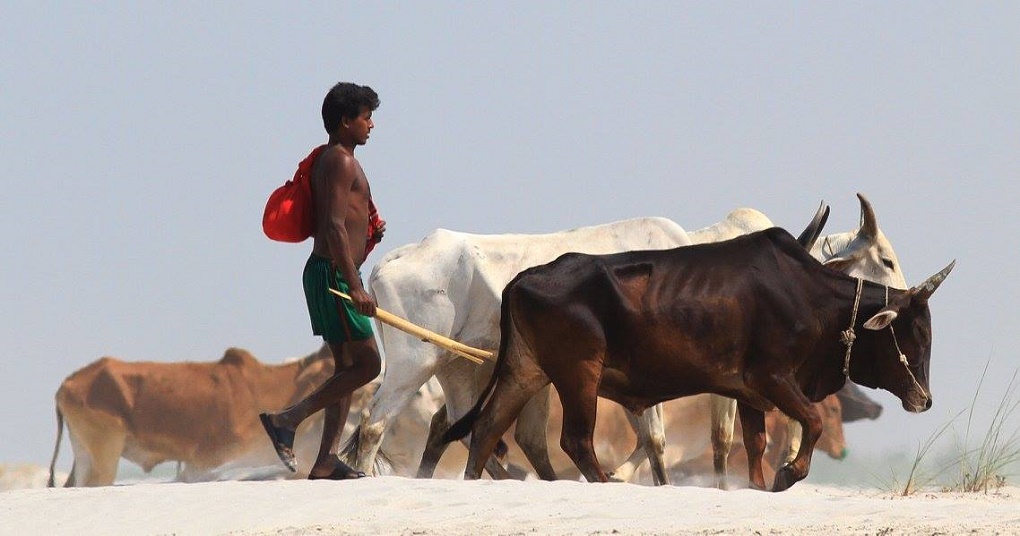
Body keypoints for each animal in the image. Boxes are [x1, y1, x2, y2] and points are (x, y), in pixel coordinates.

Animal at [442, 225, 950, 488]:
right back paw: (605, 483)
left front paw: (761, 484)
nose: (924, 399)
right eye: (915, 331)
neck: (812, 298)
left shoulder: (750, 394)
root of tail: (524, 277)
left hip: (525, 371)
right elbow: (812, 421)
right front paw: (788, 474)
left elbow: (755, 446)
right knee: (575, 441)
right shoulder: (773, 378)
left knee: (485, 429)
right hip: (578, 374)